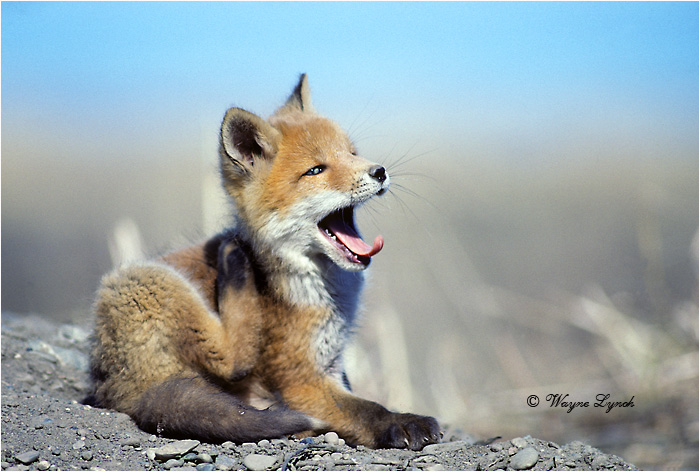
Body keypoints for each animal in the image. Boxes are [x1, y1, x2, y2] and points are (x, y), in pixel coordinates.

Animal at [89, 74, 441, 450]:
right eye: (316, 170)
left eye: (351, 153)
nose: (380, 171)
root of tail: (113, 388)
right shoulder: (299, 379)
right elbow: (365, 410)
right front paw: (401, 423)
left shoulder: (332, 363)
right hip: (146, 279)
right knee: (233, 360)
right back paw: (234, 263)